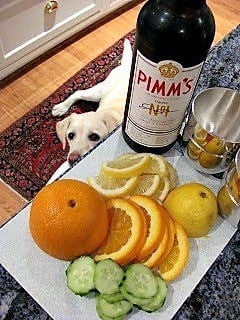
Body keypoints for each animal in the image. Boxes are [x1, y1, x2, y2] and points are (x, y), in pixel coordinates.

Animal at [51, 38, 132, 166]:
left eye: (94, 137)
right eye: (70, 135)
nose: (72, 160)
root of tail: (127, 66)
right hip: (98, 92)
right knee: (78, 92)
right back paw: (61, 107)